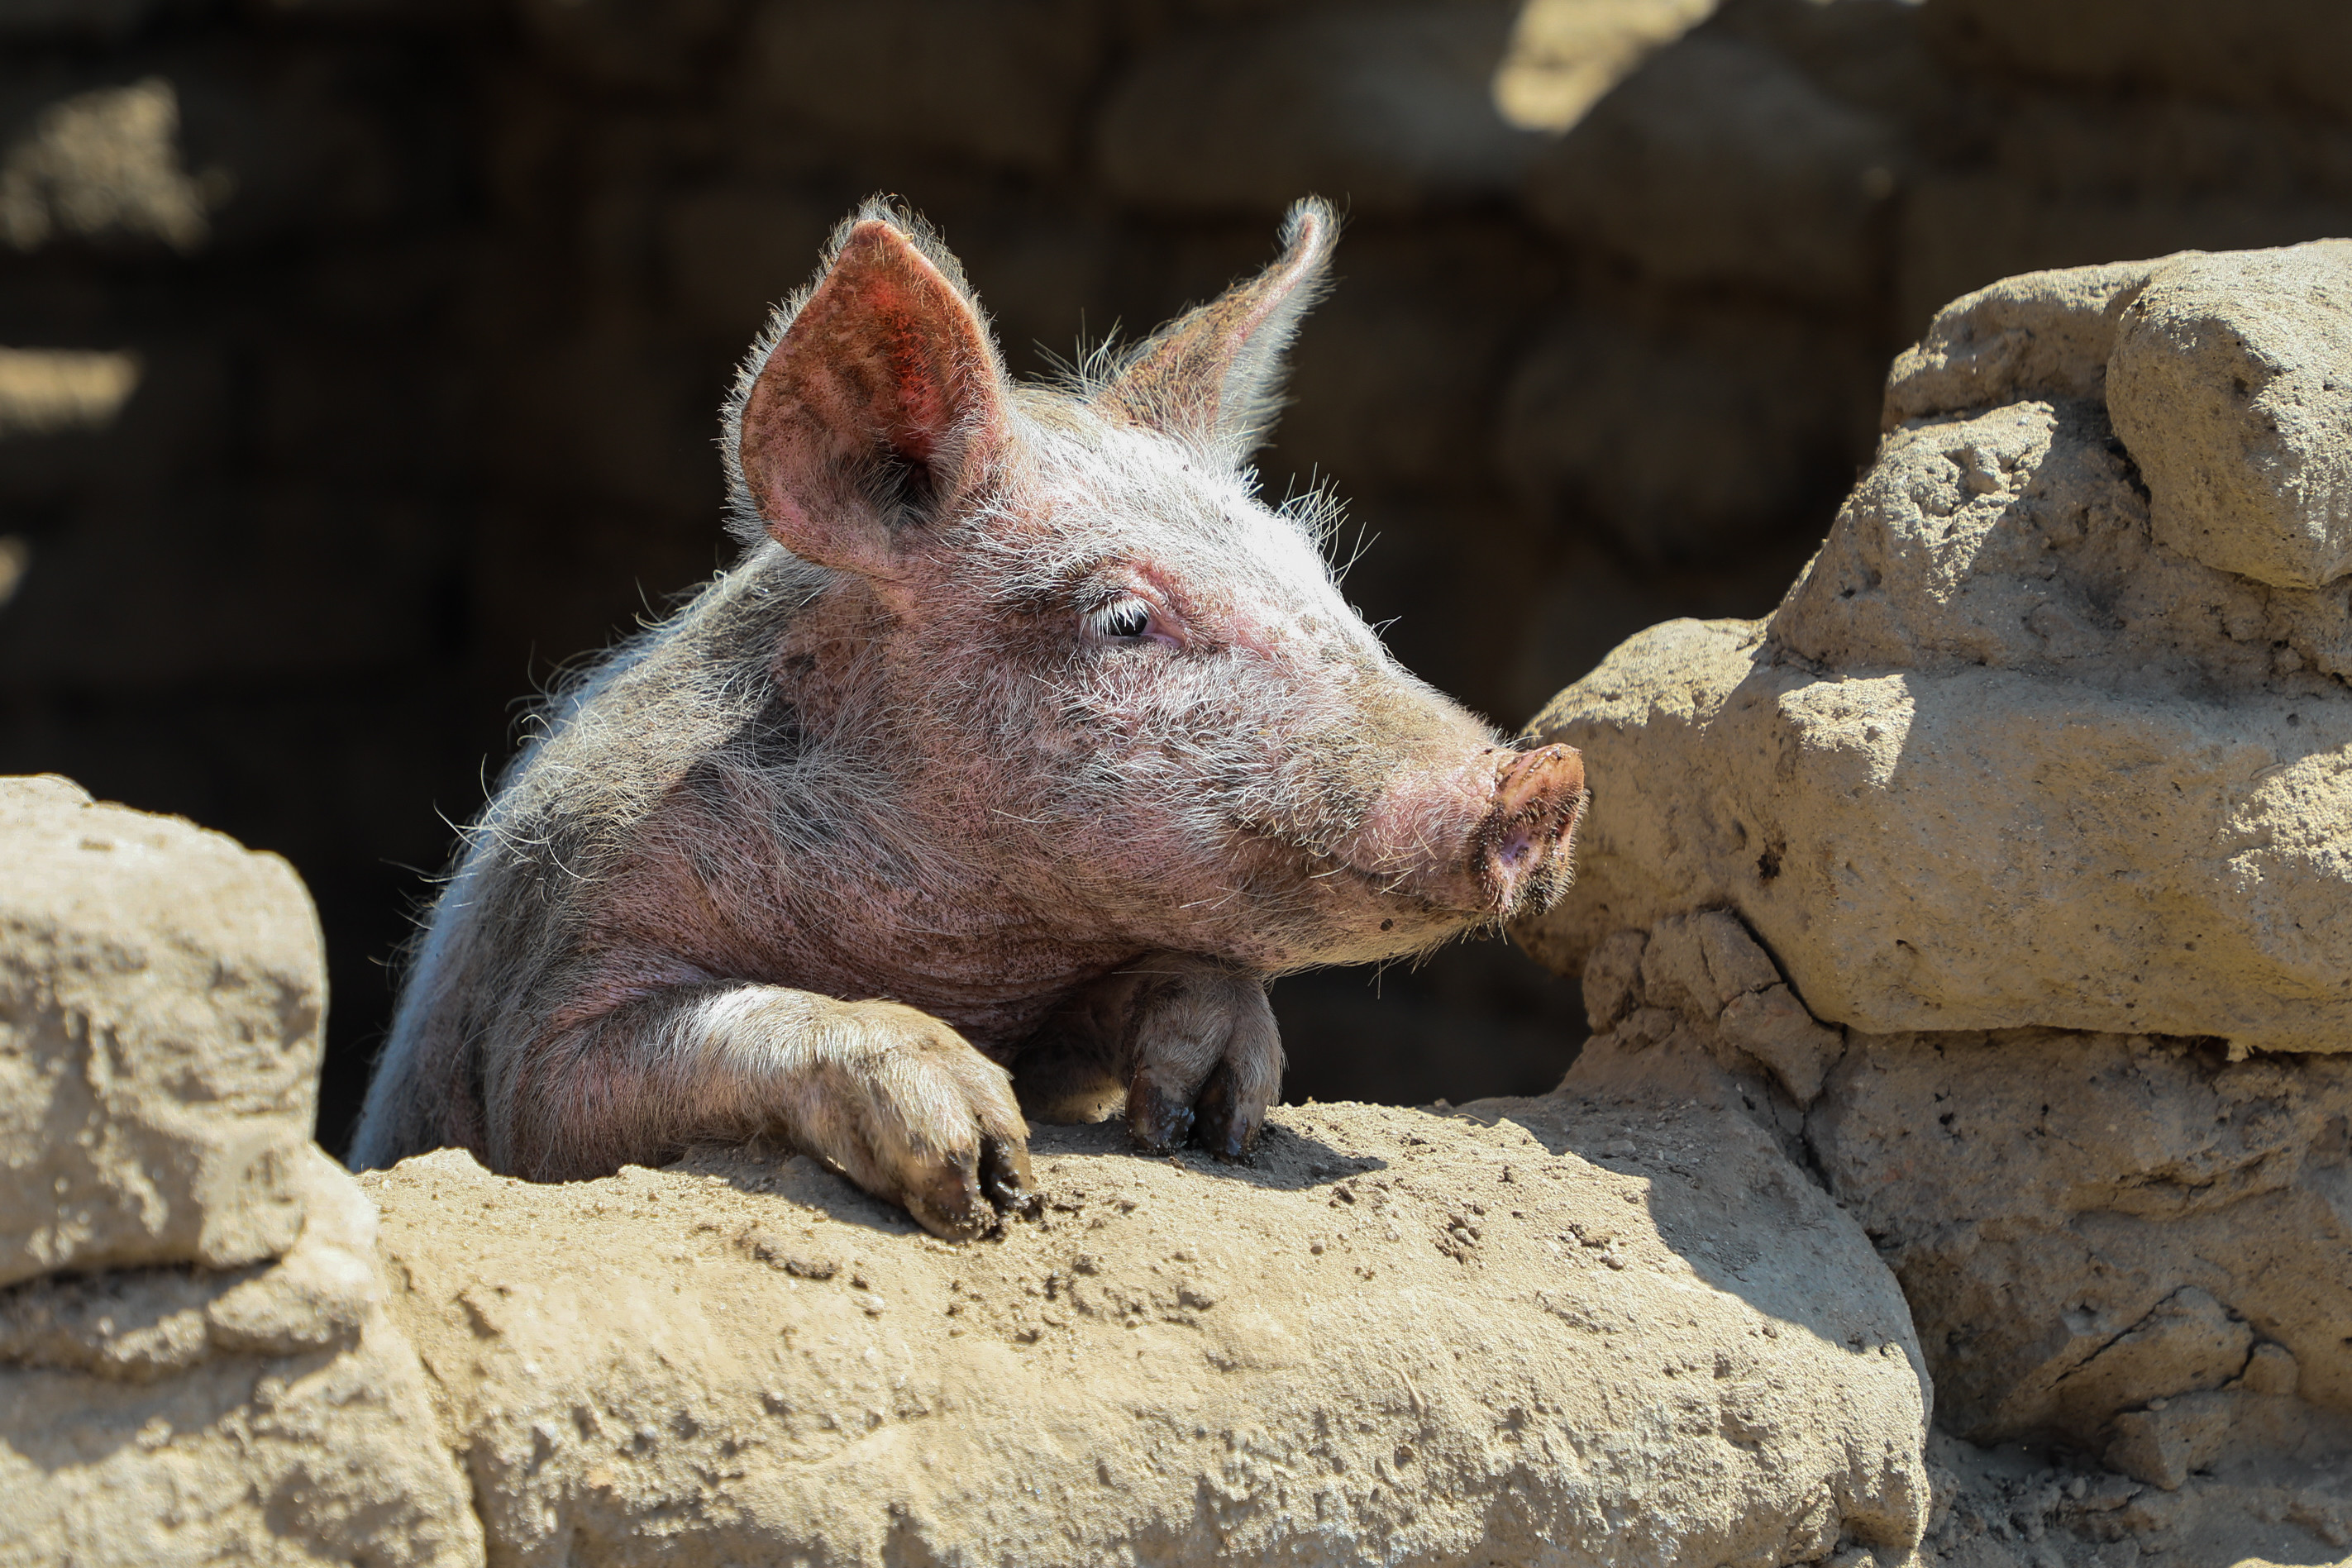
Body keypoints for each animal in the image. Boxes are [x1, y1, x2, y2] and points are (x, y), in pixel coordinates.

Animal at [348, 193, 1590, 1241]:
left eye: (1317, 574)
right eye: (1125, 618)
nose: (1545, 777)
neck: (961, 945)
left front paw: (1213, 1121)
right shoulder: (541, 1014)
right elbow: (586, 1083)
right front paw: (990, 1176)